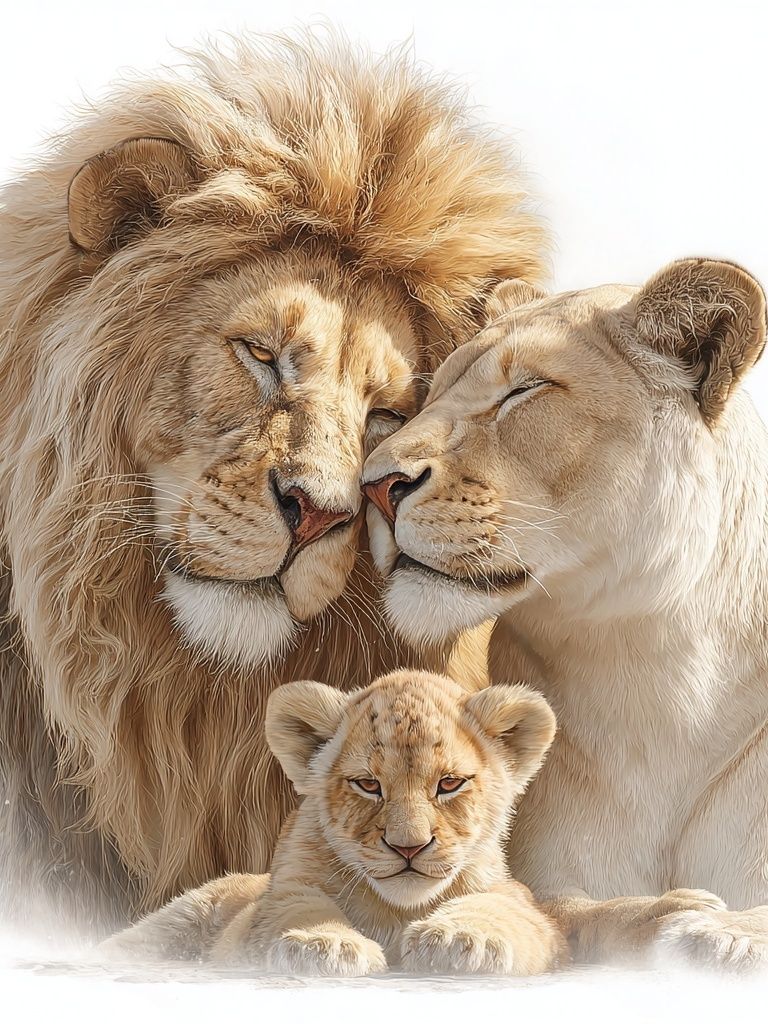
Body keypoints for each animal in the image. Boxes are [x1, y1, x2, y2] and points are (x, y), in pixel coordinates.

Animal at [100, 669, 566, 977]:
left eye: (449, 783)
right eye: (368, 785)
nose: (409, 847)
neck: (395, 910)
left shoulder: (518, 899)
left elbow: (500, 908)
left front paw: (460, 940)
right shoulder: (279, 894)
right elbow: (298, 906)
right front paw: (325, 944)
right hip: (180, 916)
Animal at [362, 258, 768, 970]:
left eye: (524, 390)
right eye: (430, 396)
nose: (374, 486)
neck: (655, 668)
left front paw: (727, 933)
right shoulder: (542, 870)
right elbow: (578, 915)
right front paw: (674, 915)